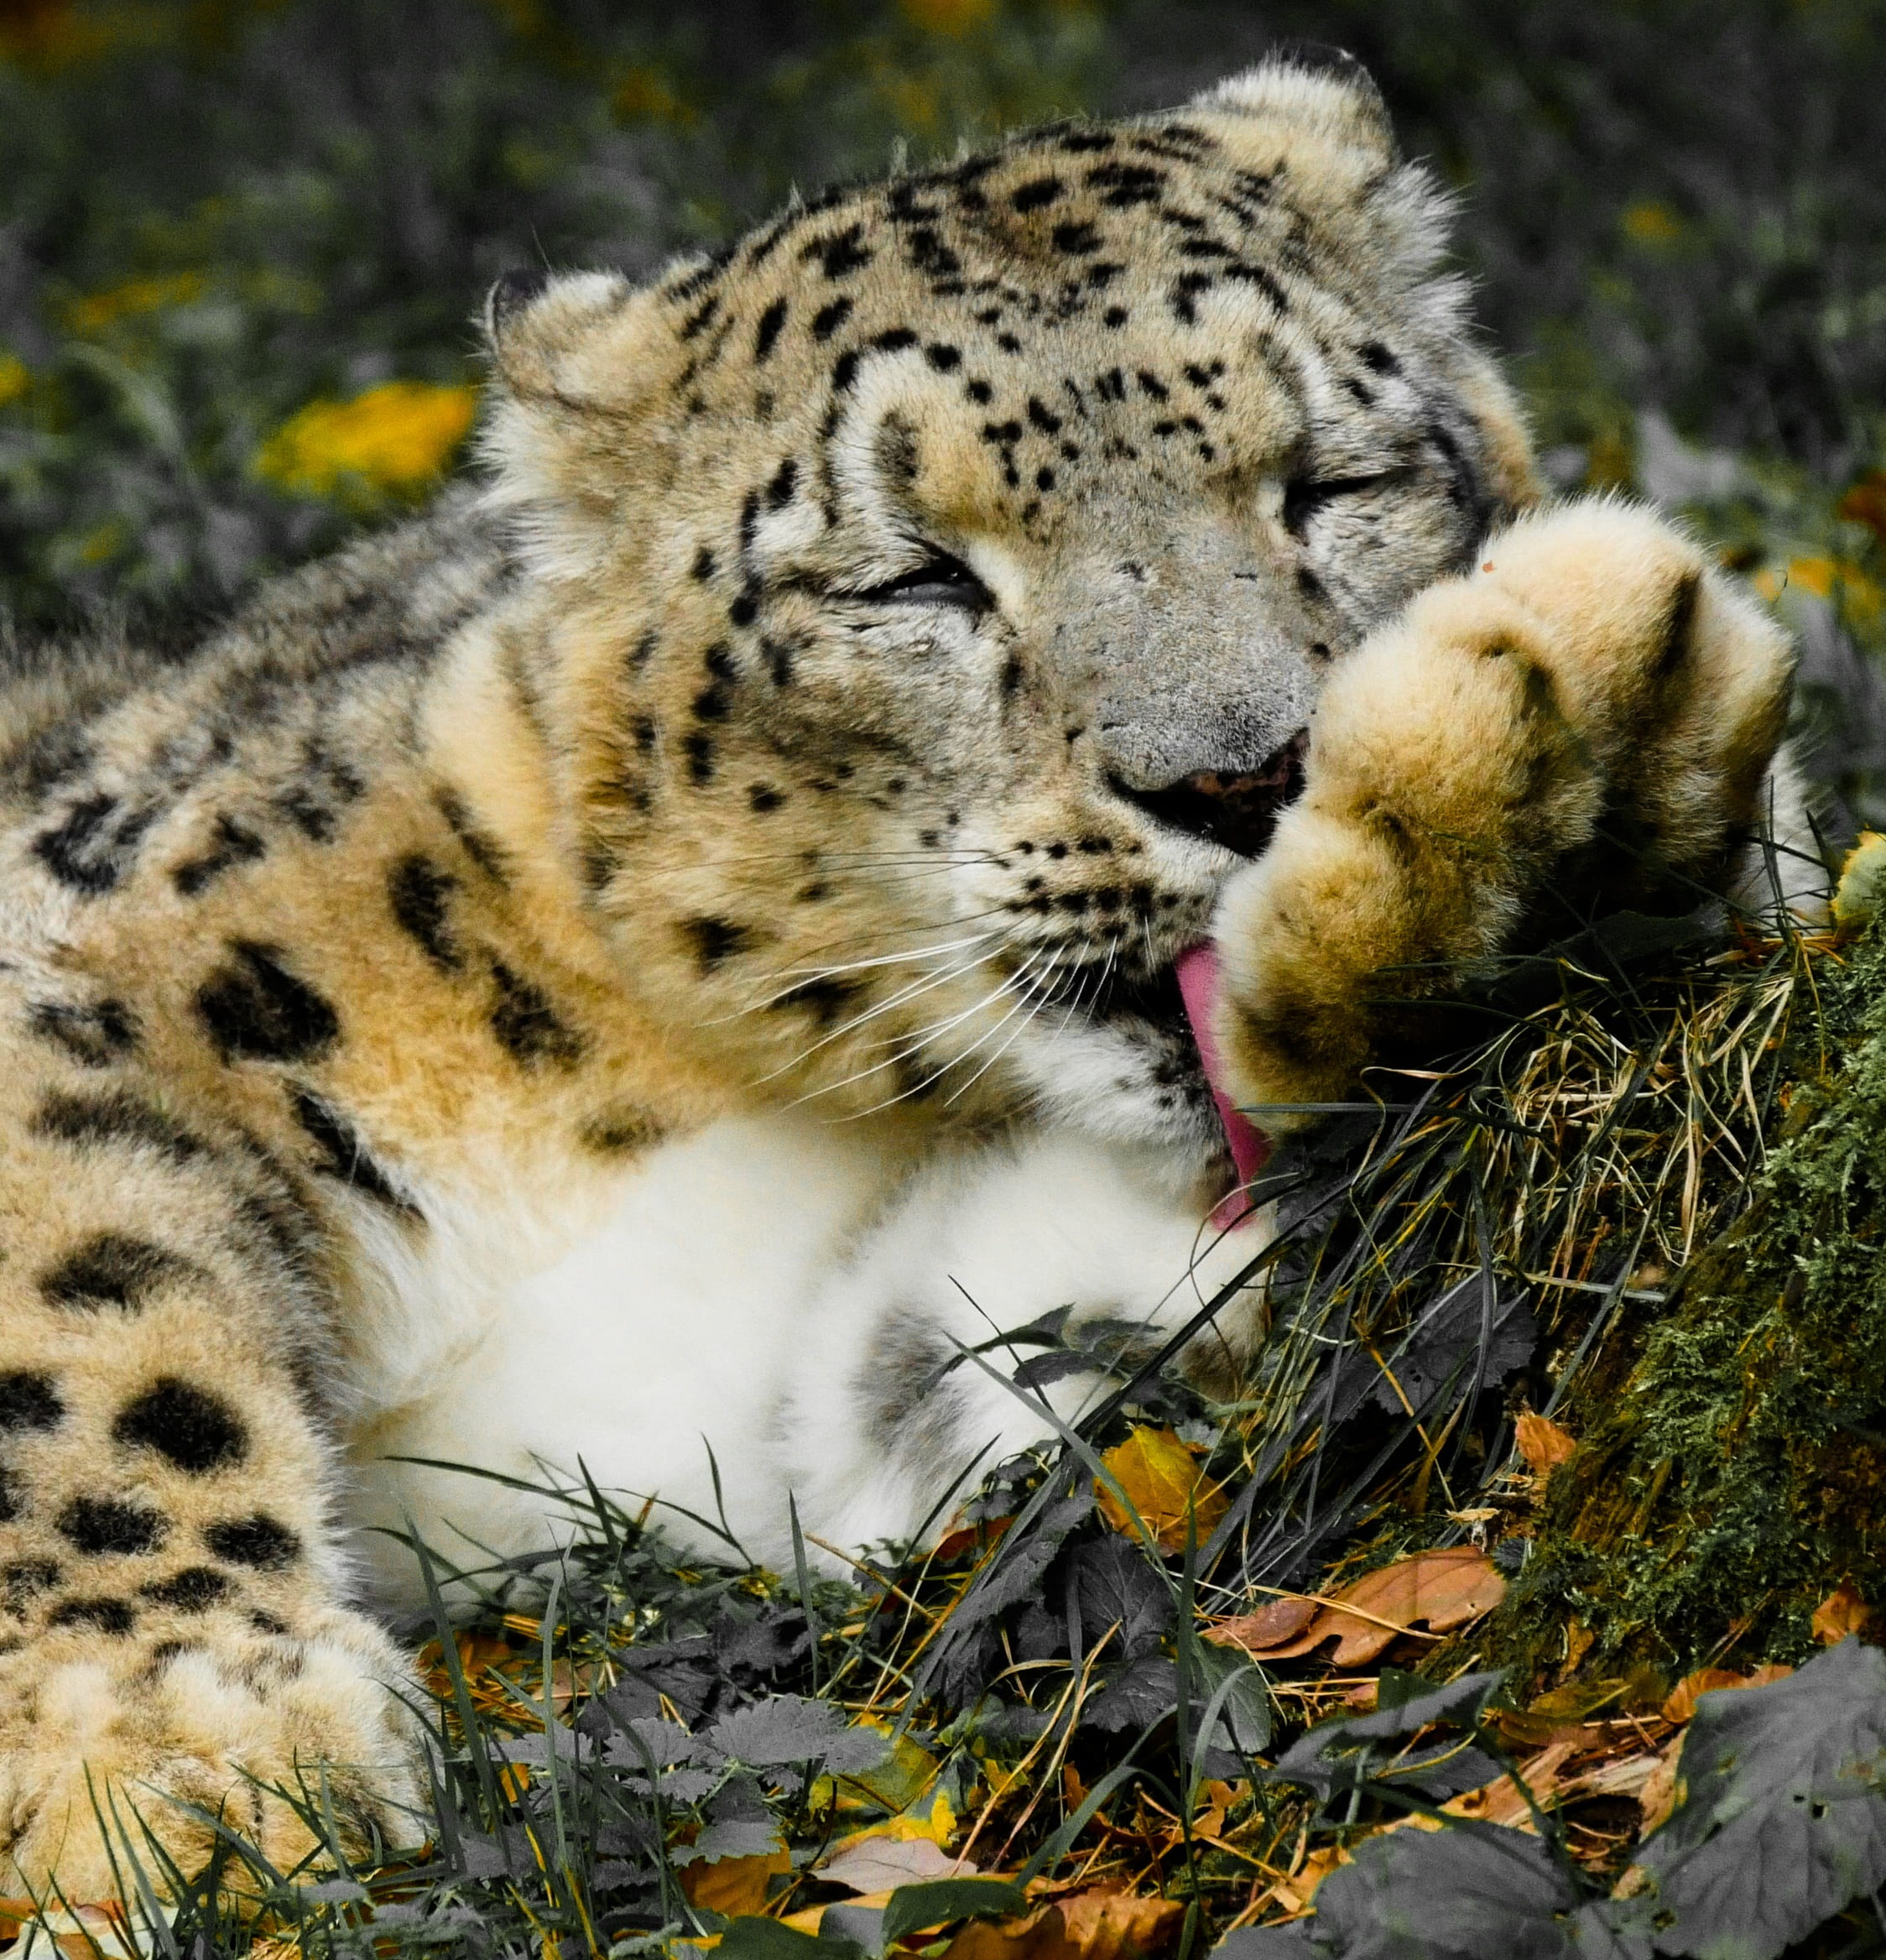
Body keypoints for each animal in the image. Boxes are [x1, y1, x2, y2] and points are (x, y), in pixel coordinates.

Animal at [0, 50, 1810, 1903]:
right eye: (913, 575)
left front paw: (1532, 796)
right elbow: (85, 1310)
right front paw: (177, 1766)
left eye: (1324, 479)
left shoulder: (772, 1393)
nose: (1241, 776)